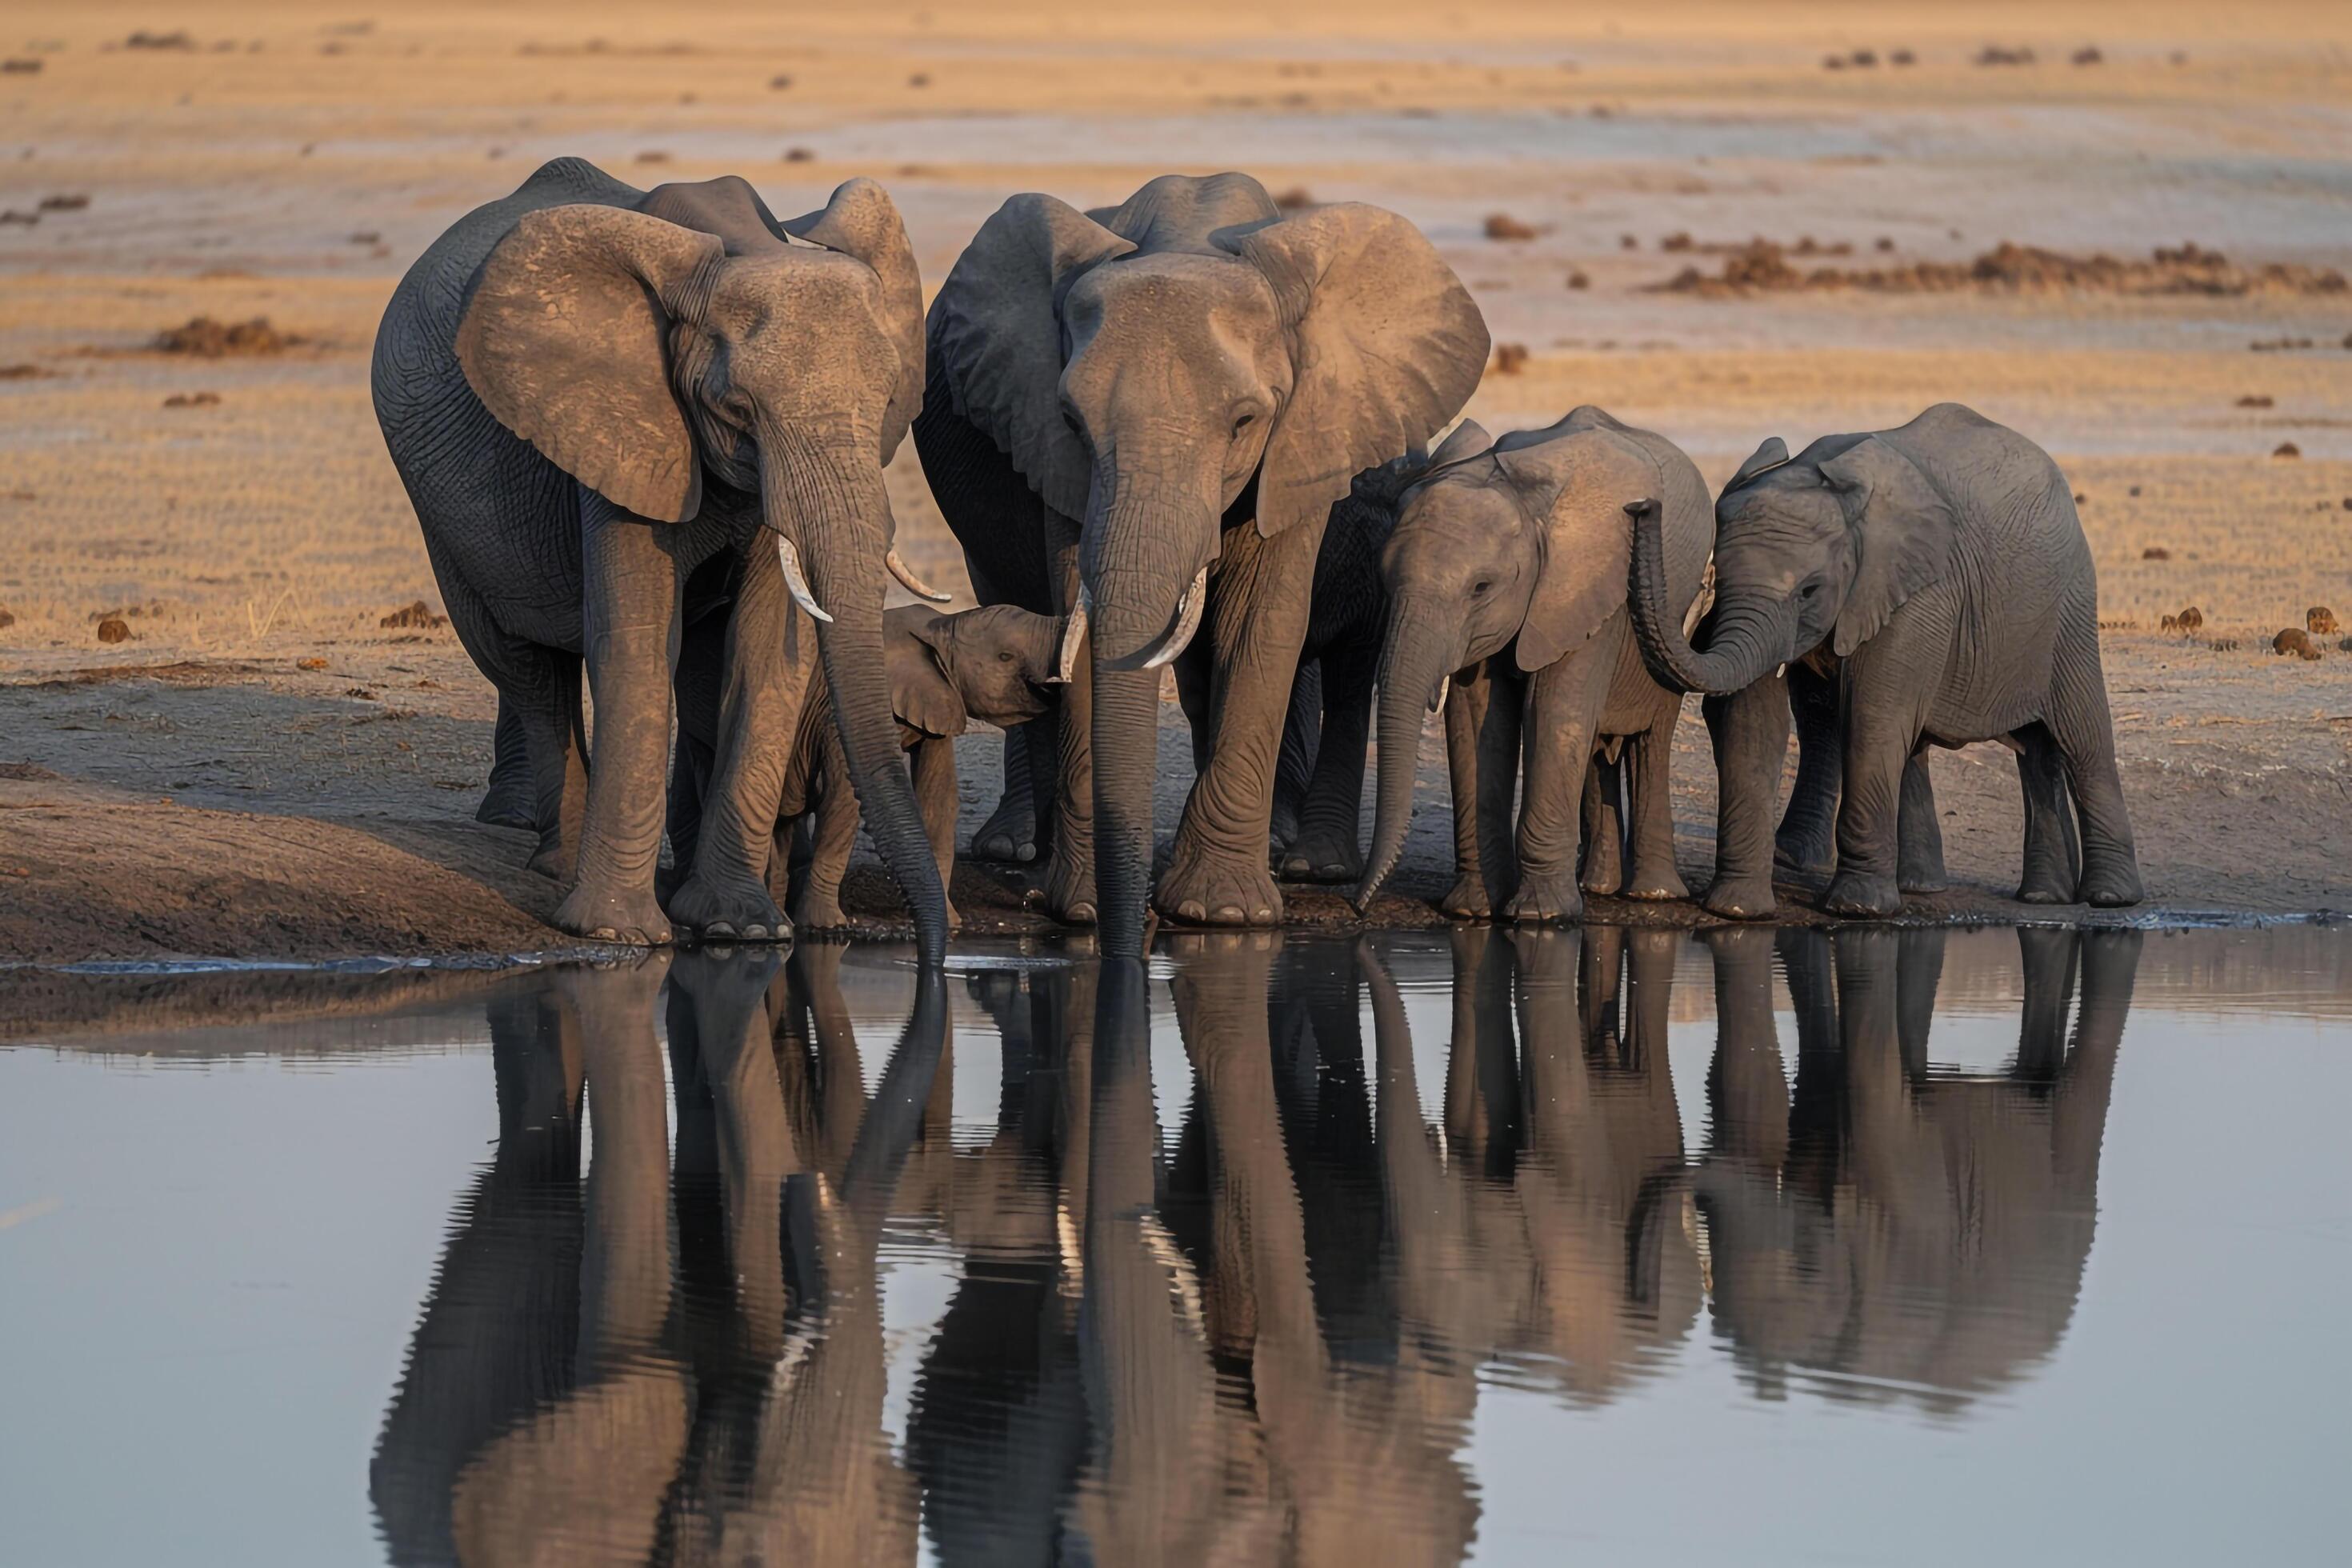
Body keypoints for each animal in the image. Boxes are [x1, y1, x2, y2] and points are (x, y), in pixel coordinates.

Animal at [376, 156, 945, 958]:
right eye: (737, 411)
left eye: (891, 399)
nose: (931, 952)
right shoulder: (618, 428)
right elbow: (636, 639)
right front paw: (618, 933)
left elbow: (763, 651)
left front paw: (741, 928)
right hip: (440, 510)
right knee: (525, 668)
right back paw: (559, 869)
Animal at [907, 171, 1477, 958]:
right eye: (1072, 420)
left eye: (1244, 423)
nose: (1139, 925)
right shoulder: (1050, 450)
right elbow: (1078, 615)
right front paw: (1086, 909)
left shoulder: (1305, 441)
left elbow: (1260, 626)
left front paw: (1223, 914)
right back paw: (1015, 851)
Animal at [1354, 409, 1722, 921]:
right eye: (1385, 582)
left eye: (1481, 588)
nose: (1359, 907)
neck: (1521, 499)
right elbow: (1476, 720)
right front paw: (1473, 911)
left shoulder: (1586, 589)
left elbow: (1553, 711)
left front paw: (1540, 916)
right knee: (1597, 748)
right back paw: (1596, 886)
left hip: (1672, 622)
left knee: (1649, 739)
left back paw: (1652, 895)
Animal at [1627, 402, 2145, 921]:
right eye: (1717, 578)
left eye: (1809, 591)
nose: (1640, 506)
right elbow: (1753, 720)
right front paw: (1737, 911)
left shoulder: (1917, 594)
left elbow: (1870, 721)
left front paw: (1856, 909)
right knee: (2019, 749)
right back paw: (2016, 895)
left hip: (2070, 609)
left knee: (2082, 738)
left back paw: (2110, 897)